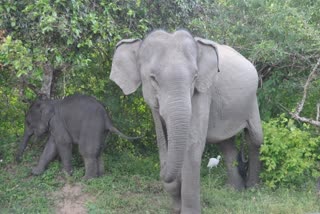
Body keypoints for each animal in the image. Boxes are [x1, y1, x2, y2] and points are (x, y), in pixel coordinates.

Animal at [110, 30, 262, 214]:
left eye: (195, 77)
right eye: (153, 78)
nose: (161, 171)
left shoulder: (203, 90)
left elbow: (192, 146)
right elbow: (162, 142)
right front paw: (176, 207)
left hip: (253, 100)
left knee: (255, 138)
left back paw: (252, 188)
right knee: (226, 145)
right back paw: (235, 190)